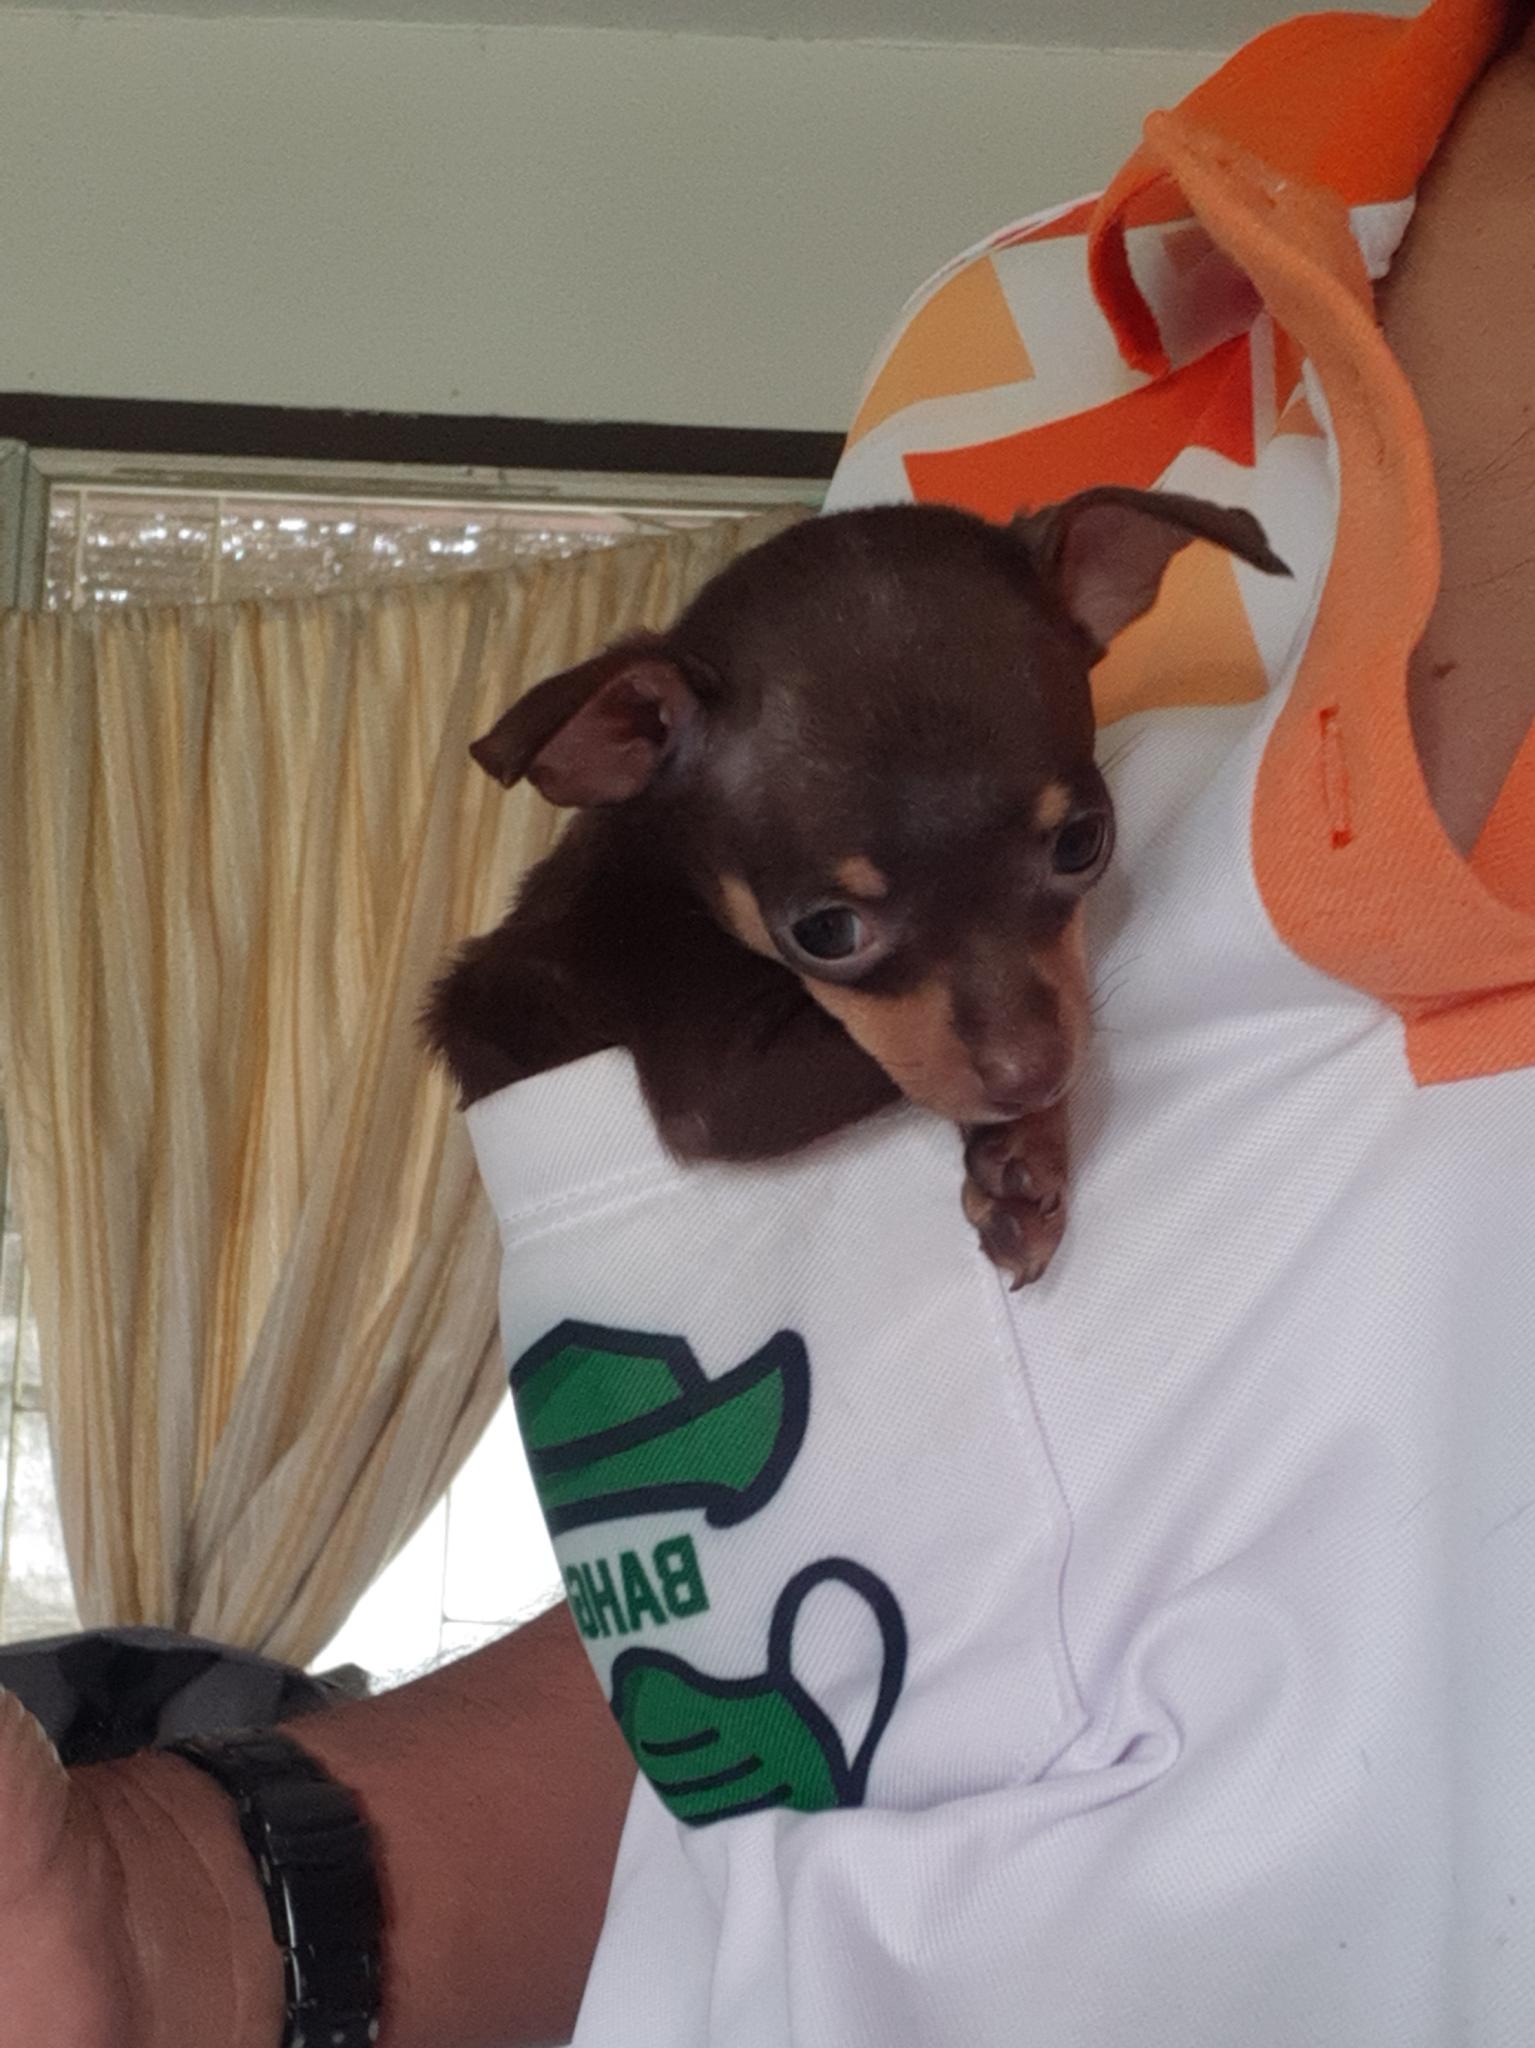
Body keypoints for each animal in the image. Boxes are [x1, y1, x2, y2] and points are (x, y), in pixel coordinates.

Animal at [426, 487, 1286, 1285]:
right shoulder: (723, 1086)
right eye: (825, 933)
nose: (1033, 1077)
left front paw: (1021, 1144)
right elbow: (887, 1060)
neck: (670, 878)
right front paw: (1026, 1138)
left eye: (1081, 844)